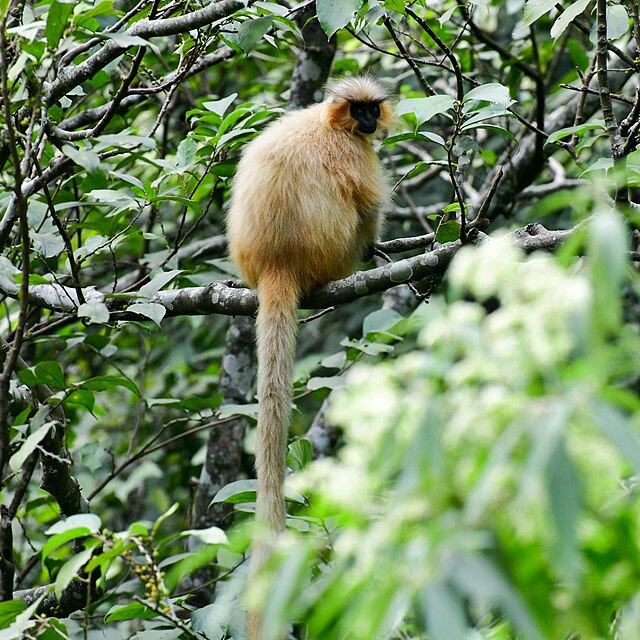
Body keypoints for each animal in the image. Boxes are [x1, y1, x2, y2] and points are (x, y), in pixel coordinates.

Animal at [225, 74, 396, 636]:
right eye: (359, 112)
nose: (368, 122)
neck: (328, 123)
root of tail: (277, 263)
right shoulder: (355, 154)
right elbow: (367, 203)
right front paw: (376, 242)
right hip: (333, 253)